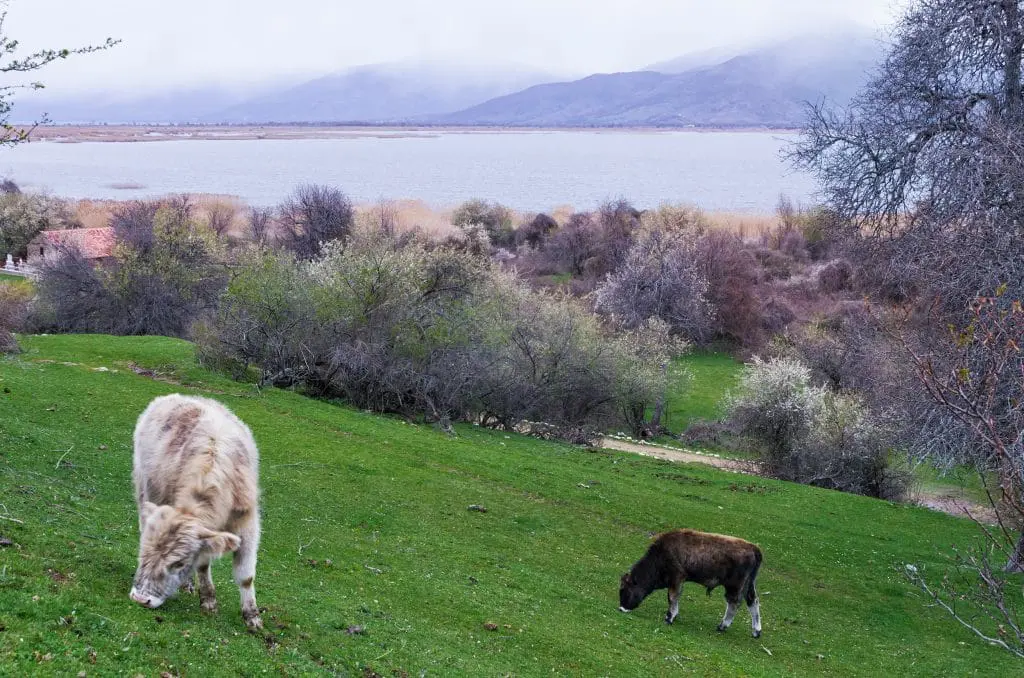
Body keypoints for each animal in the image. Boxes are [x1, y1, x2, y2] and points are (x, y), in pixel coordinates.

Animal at [130, 393, 264, 630]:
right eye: (142, 552)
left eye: (179, 563)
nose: (140, 598)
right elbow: (203, 564)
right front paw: (209, 601)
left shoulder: (248, 523)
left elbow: (246, 576)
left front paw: (252, 616)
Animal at [614, 532, 761, 639]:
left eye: (625, 590)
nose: (621, 608)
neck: (659, 556)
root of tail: (753, 548)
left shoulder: (676, 578)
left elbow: (672, 597)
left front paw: (669, 617)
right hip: (748, 585)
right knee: (753, 601)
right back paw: (756, 631)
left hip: (734, 586)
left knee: (733, 603)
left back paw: (722, 626)